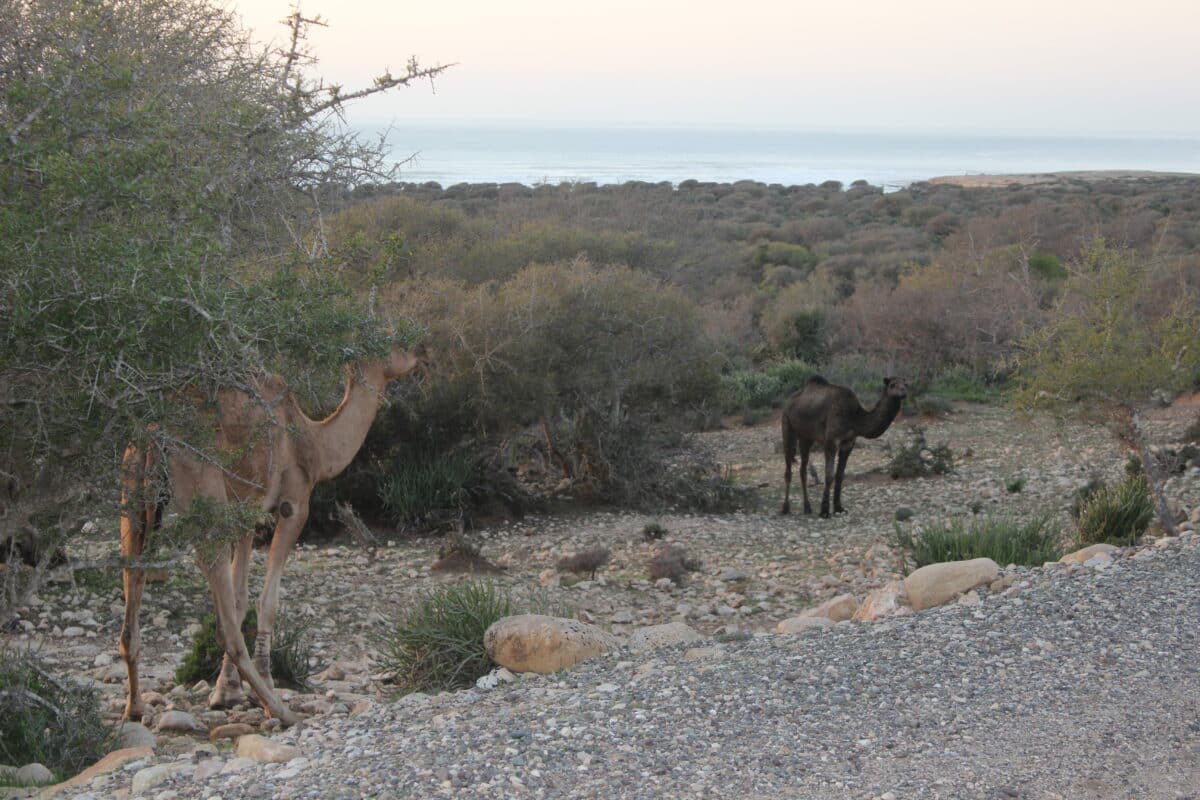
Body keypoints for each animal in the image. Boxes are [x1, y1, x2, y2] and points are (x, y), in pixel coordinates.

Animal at [119, 345, 429, 724]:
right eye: (396, 343)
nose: (424, 351)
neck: (314, 442)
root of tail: (153, 436)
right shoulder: (294, 503)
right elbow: (266, 602)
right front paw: (256, 686)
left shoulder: (244, 516)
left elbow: (240, 599)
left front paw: (226, 693)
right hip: (202, 497)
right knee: (224, 624)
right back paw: (281, 709)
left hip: (132, 497)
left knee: (132, 594)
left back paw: (135, 707)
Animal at [782, 376, 902, 520]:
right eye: (892, 385)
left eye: (906, 384)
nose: (903, 392)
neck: (854, 417)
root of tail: (789, 401)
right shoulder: (831, 441)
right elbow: (829, 475)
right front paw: (824, 511)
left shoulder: (848, 442)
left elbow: (840, 475)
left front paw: (839, 508)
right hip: (787, 425)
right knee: (788, 468)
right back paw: (785, 508)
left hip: (806, 437)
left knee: (802, 469)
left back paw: (807, 508)